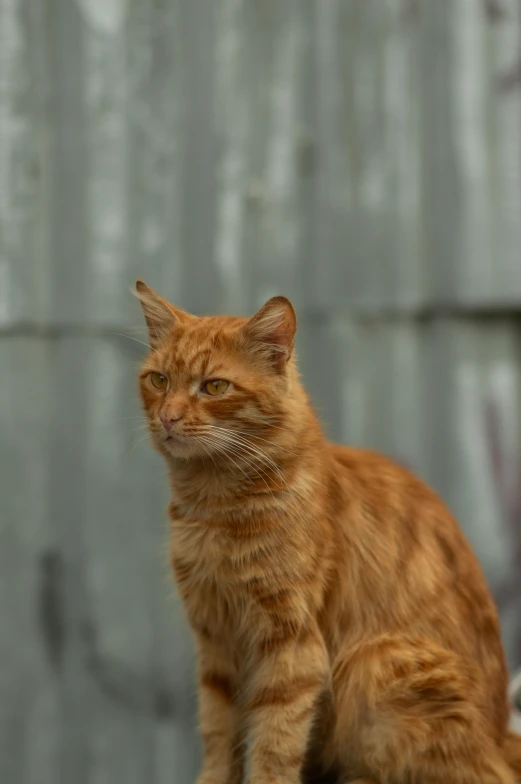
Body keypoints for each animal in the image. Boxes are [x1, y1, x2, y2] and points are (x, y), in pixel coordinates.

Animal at [137, 282, 520, 784]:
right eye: (159, 380)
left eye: (215, 386)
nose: (168, 417)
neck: (214, 507)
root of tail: (502, 739)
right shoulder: (216, 643)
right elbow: (219, 737)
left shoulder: (291, 646)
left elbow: (274, 746)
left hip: (372, 661)